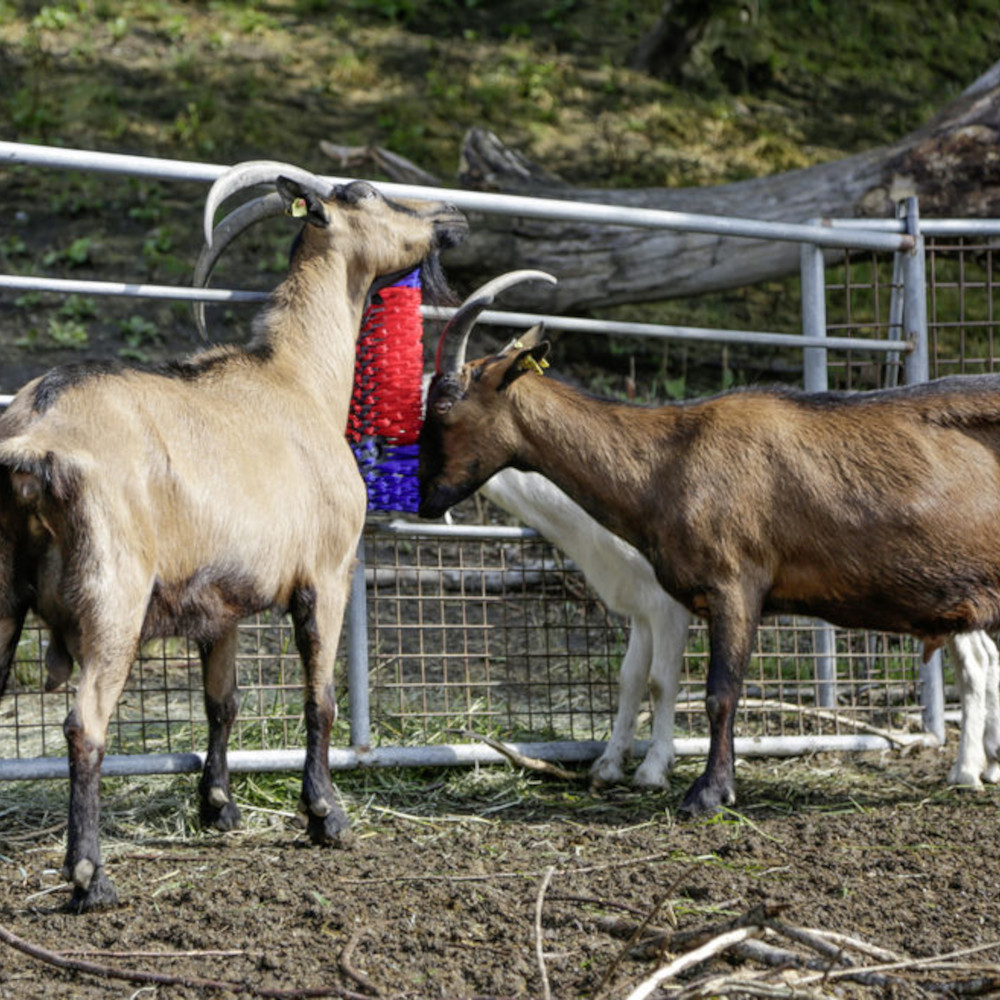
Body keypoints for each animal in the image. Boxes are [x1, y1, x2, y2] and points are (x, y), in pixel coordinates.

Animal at [0, 160, 466, 912]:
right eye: (364, 192)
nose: (450, 218)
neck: (298, 380)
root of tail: (34, 437)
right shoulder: (327, 573)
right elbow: (321, 697)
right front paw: (325, 815)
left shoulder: (218, 602)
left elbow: (222, 702)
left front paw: (218, 806)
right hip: (112, 596)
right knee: (84, 723)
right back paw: (91, 876)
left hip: (5, 590)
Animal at [422, 308, 1000, 816]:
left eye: (444, 405)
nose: (425, 497)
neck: (668, 459)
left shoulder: (734, 585)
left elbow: (718, 693)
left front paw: (706, 793)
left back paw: (969, 771)